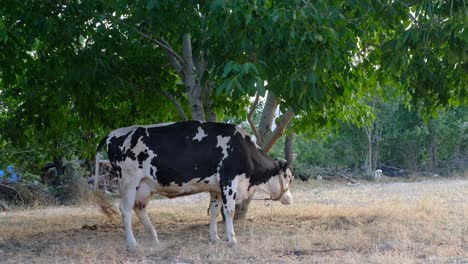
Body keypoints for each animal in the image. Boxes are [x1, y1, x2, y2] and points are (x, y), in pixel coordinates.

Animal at [94, 121, 292, 250]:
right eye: (289, 177)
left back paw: (154, 237)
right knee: (126, 209)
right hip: (128, 181)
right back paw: (132, 243)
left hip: (143, 186)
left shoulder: (216, 188)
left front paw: (214, 237)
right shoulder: (229, 180)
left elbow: (214, 211)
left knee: (139, 208)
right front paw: (231, 240)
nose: (290, 199)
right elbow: (229, 211)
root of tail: (114, 133)